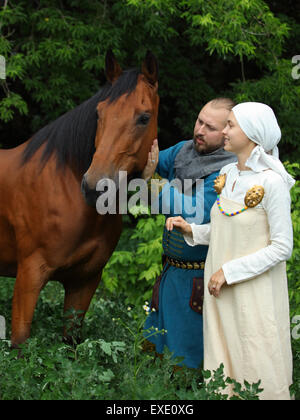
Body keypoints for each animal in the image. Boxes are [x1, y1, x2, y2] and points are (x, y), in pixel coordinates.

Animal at [0, 50, 159, 348]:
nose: (95, 187)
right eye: (99, 113)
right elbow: (21, 345)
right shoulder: (29, 275)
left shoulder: (84, 282)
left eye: (144, 118)